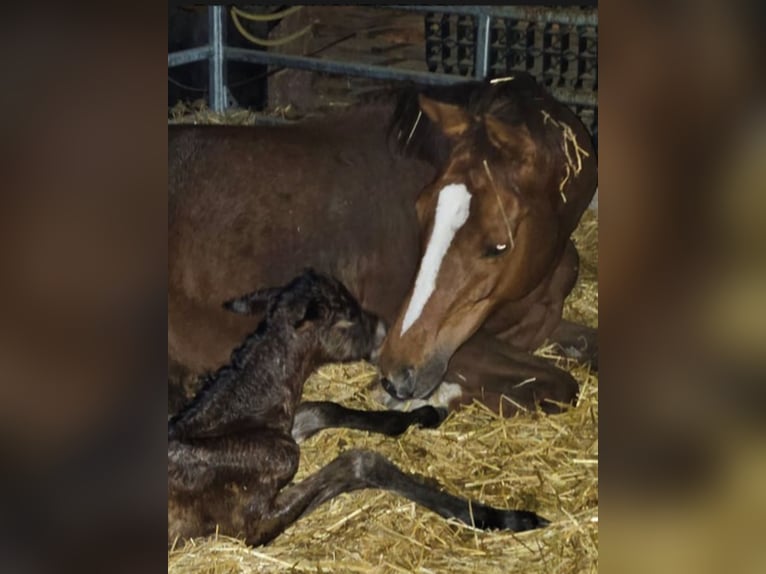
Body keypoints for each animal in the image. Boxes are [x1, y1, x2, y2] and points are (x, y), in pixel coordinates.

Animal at [171, 270, 548, 548]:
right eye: (348, 317)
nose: (384, 331)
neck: (234, 416)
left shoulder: (288, 428)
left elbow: (324, 409)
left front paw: (422, 415)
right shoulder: (253, 524)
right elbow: (360, 463)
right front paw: (500, 517)